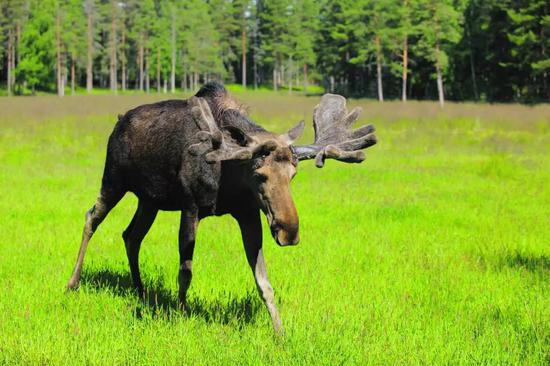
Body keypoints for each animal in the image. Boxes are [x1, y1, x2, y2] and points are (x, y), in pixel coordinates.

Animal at [67, 82, 378, 332]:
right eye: (259, 174)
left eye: (293, 174)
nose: (289, 232)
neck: (229, 176)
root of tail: (118, 122)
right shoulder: (191, 206)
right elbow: (186, 271)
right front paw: (180, 315)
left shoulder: (249, 214)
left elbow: (264, 281)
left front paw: (280, 332)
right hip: (113, 179)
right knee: (92, 218)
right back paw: (73, 282)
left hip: (149, 199)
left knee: (131, 235)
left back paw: (141, 290)